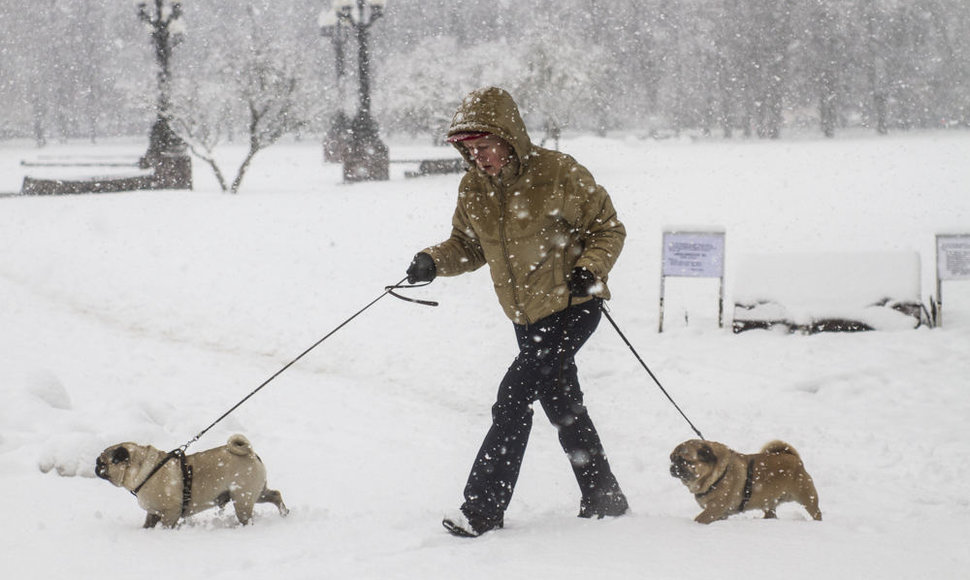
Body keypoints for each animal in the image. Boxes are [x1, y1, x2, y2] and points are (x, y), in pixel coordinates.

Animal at [97, 432, 288, 528]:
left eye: (103, 462)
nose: (96, 464)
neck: (145, 470)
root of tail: (249, 452)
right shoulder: (153, 512)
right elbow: (147, 524)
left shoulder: (170, 512)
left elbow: (166, 525)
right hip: (258, 493)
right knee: (275, 495)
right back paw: (284, 513)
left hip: (242, 498)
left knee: (247, 516)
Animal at [668, 438, 820, 524]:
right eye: (672, 458)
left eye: (684, 460)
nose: (672, 467)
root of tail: (794, 458)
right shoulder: (720, 513)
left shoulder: (713, 509)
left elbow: (699, 519)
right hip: (768, 504)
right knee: (771, 514)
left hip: (808, 498)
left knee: (817, 513)